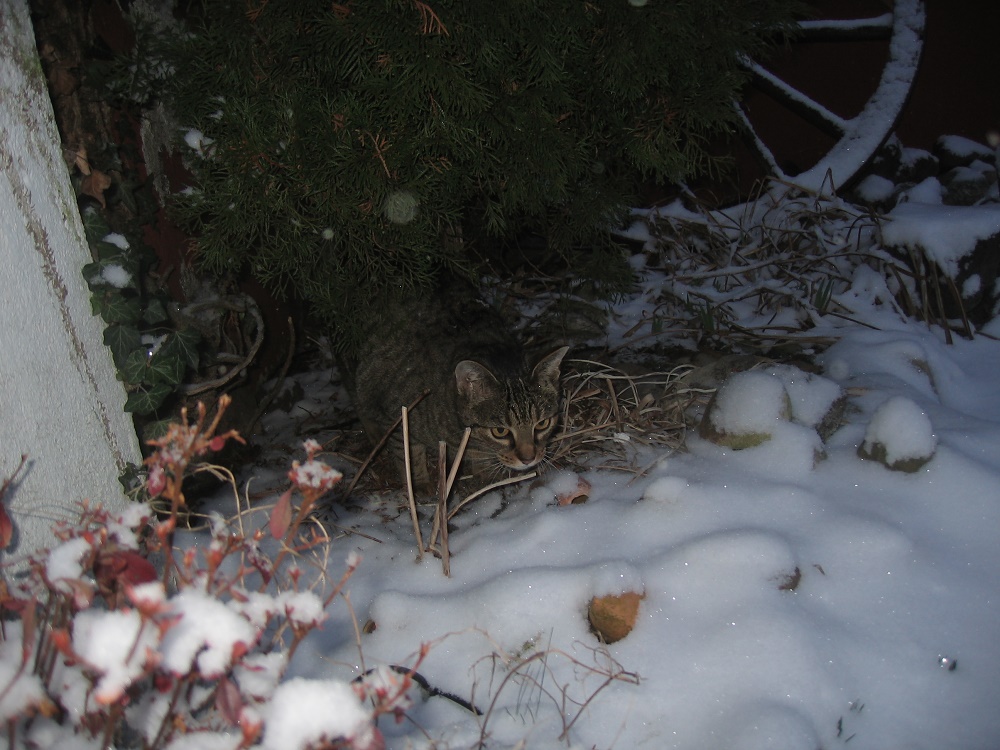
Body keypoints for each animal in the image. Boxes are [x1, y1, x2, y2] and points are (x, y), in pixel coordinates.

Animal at [346, 290, 568, 494]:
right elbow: (408, 454)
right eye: (500, 431)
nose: (528, 459)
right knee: (357, 398)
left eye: (542, 424)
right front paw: (419, 484)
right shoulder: (397, 416)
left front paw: (483, 473)